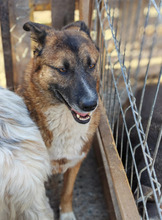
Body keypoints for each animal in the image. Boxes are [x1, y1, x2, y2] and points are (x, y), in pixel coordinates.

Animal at [16, 21, 100, 220]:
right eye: (62, 69)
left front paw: (66, 213)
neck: (64, 119)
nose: (91, 105)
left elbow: (67, 192)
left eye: (91, 65)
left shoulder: (75, 162)